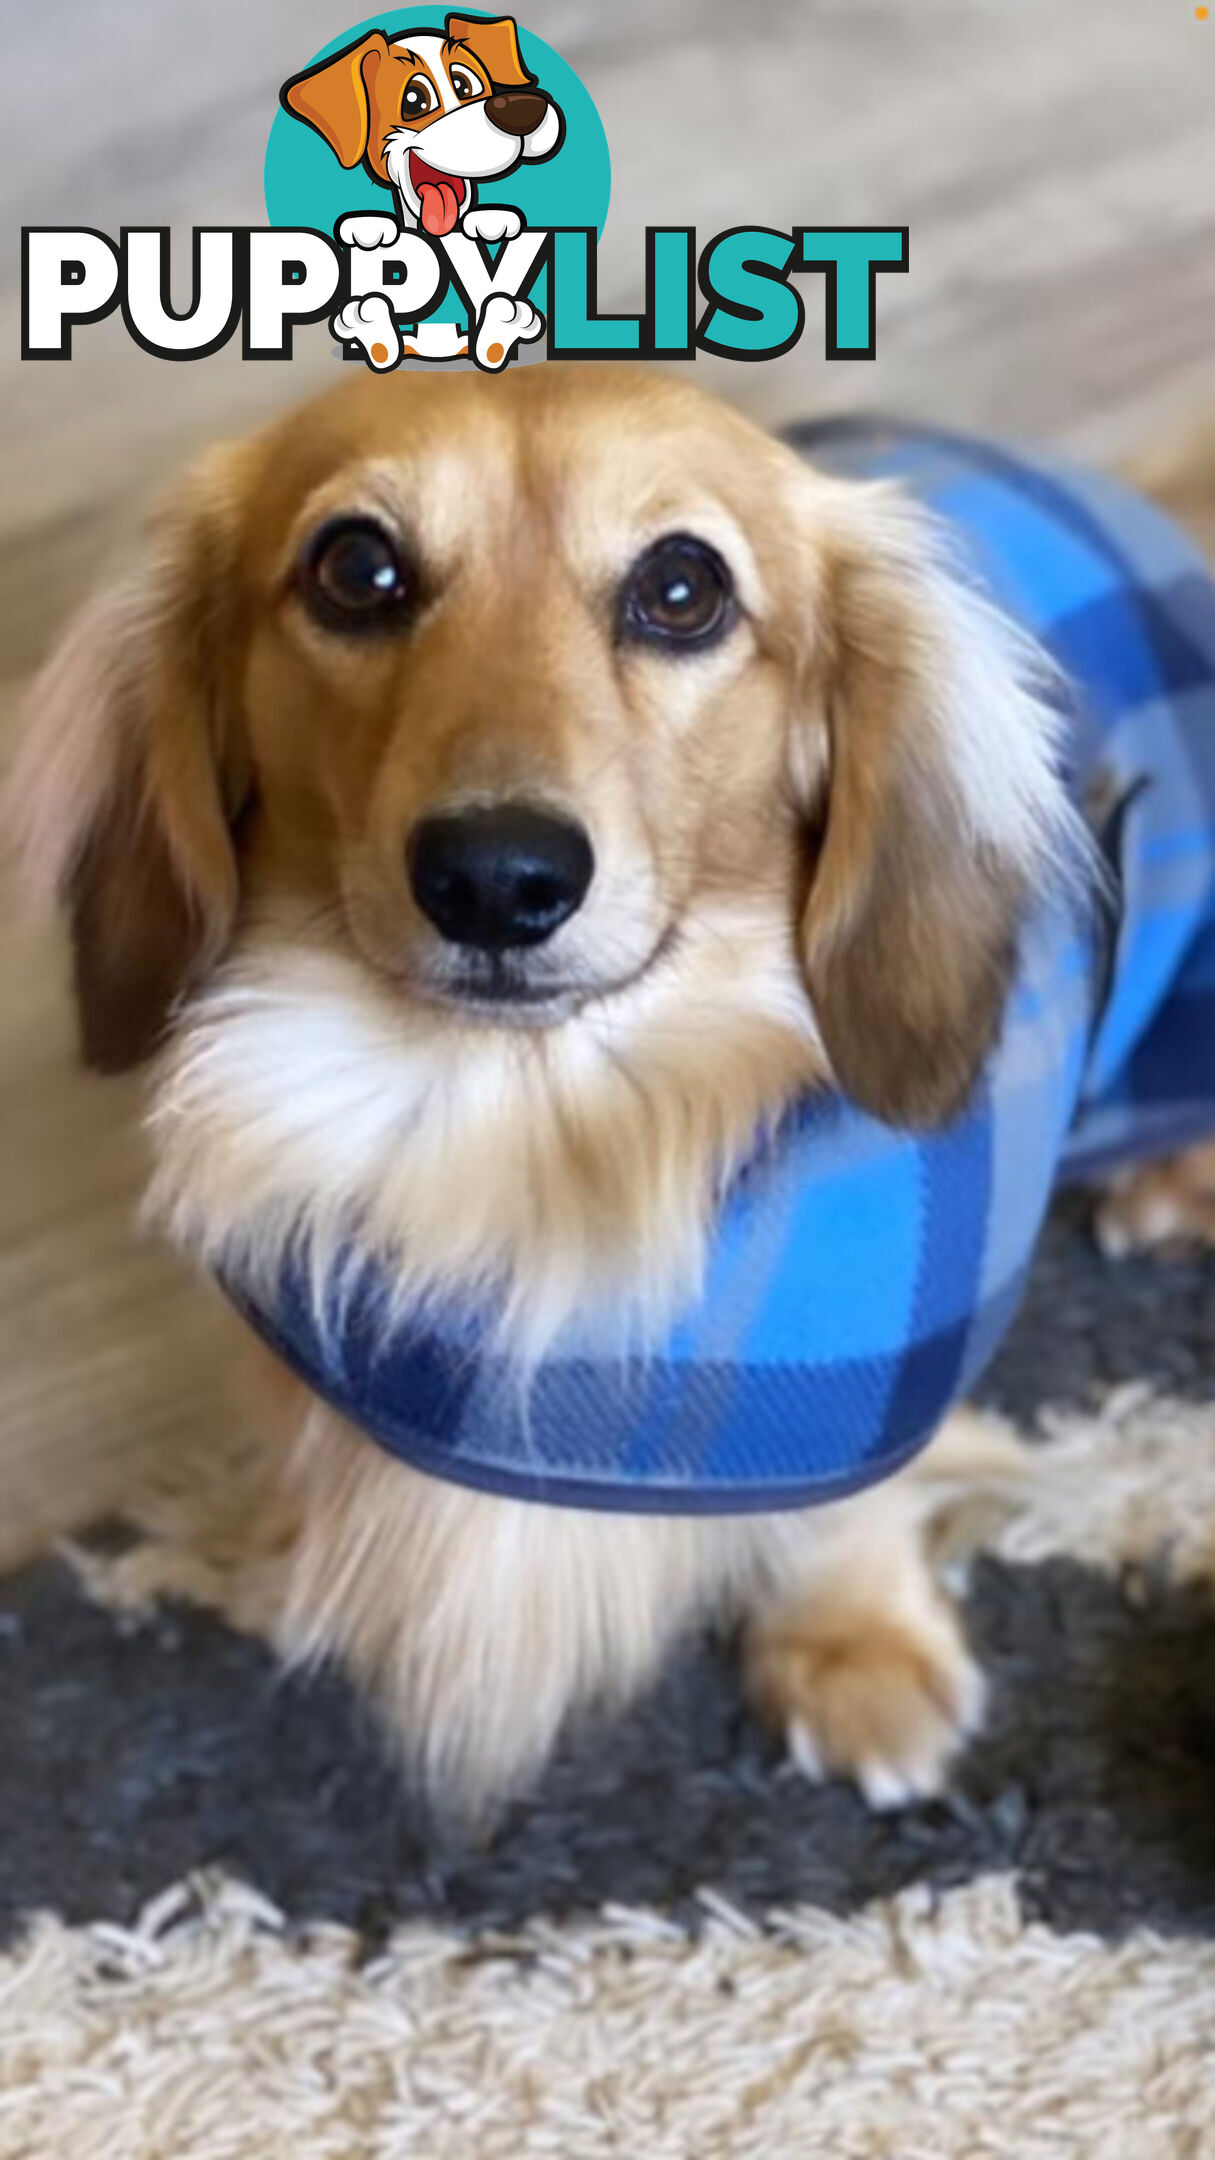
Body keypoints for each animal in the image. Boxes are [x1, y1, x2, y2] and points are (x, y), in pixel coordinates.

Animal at [11, 375, 1210, 1823]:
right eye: (356, 568)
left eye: (681, 589)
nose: (495, 880)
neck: (517, 1138)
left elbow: (847, 1509)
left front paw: (855, 1650)